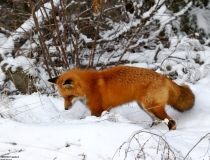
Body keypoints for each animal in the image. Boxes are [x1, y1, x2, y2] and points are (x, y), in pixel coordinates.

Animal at [48, 66, 194, 130]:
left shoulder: (97, 110)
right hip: (145, 108)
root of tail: (164, 76)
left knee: (172, 122)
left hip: (151, 107)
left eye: (70, 96)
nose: (65, 109)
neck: (89, 86)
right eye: (63, 97)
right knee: (157, 121)